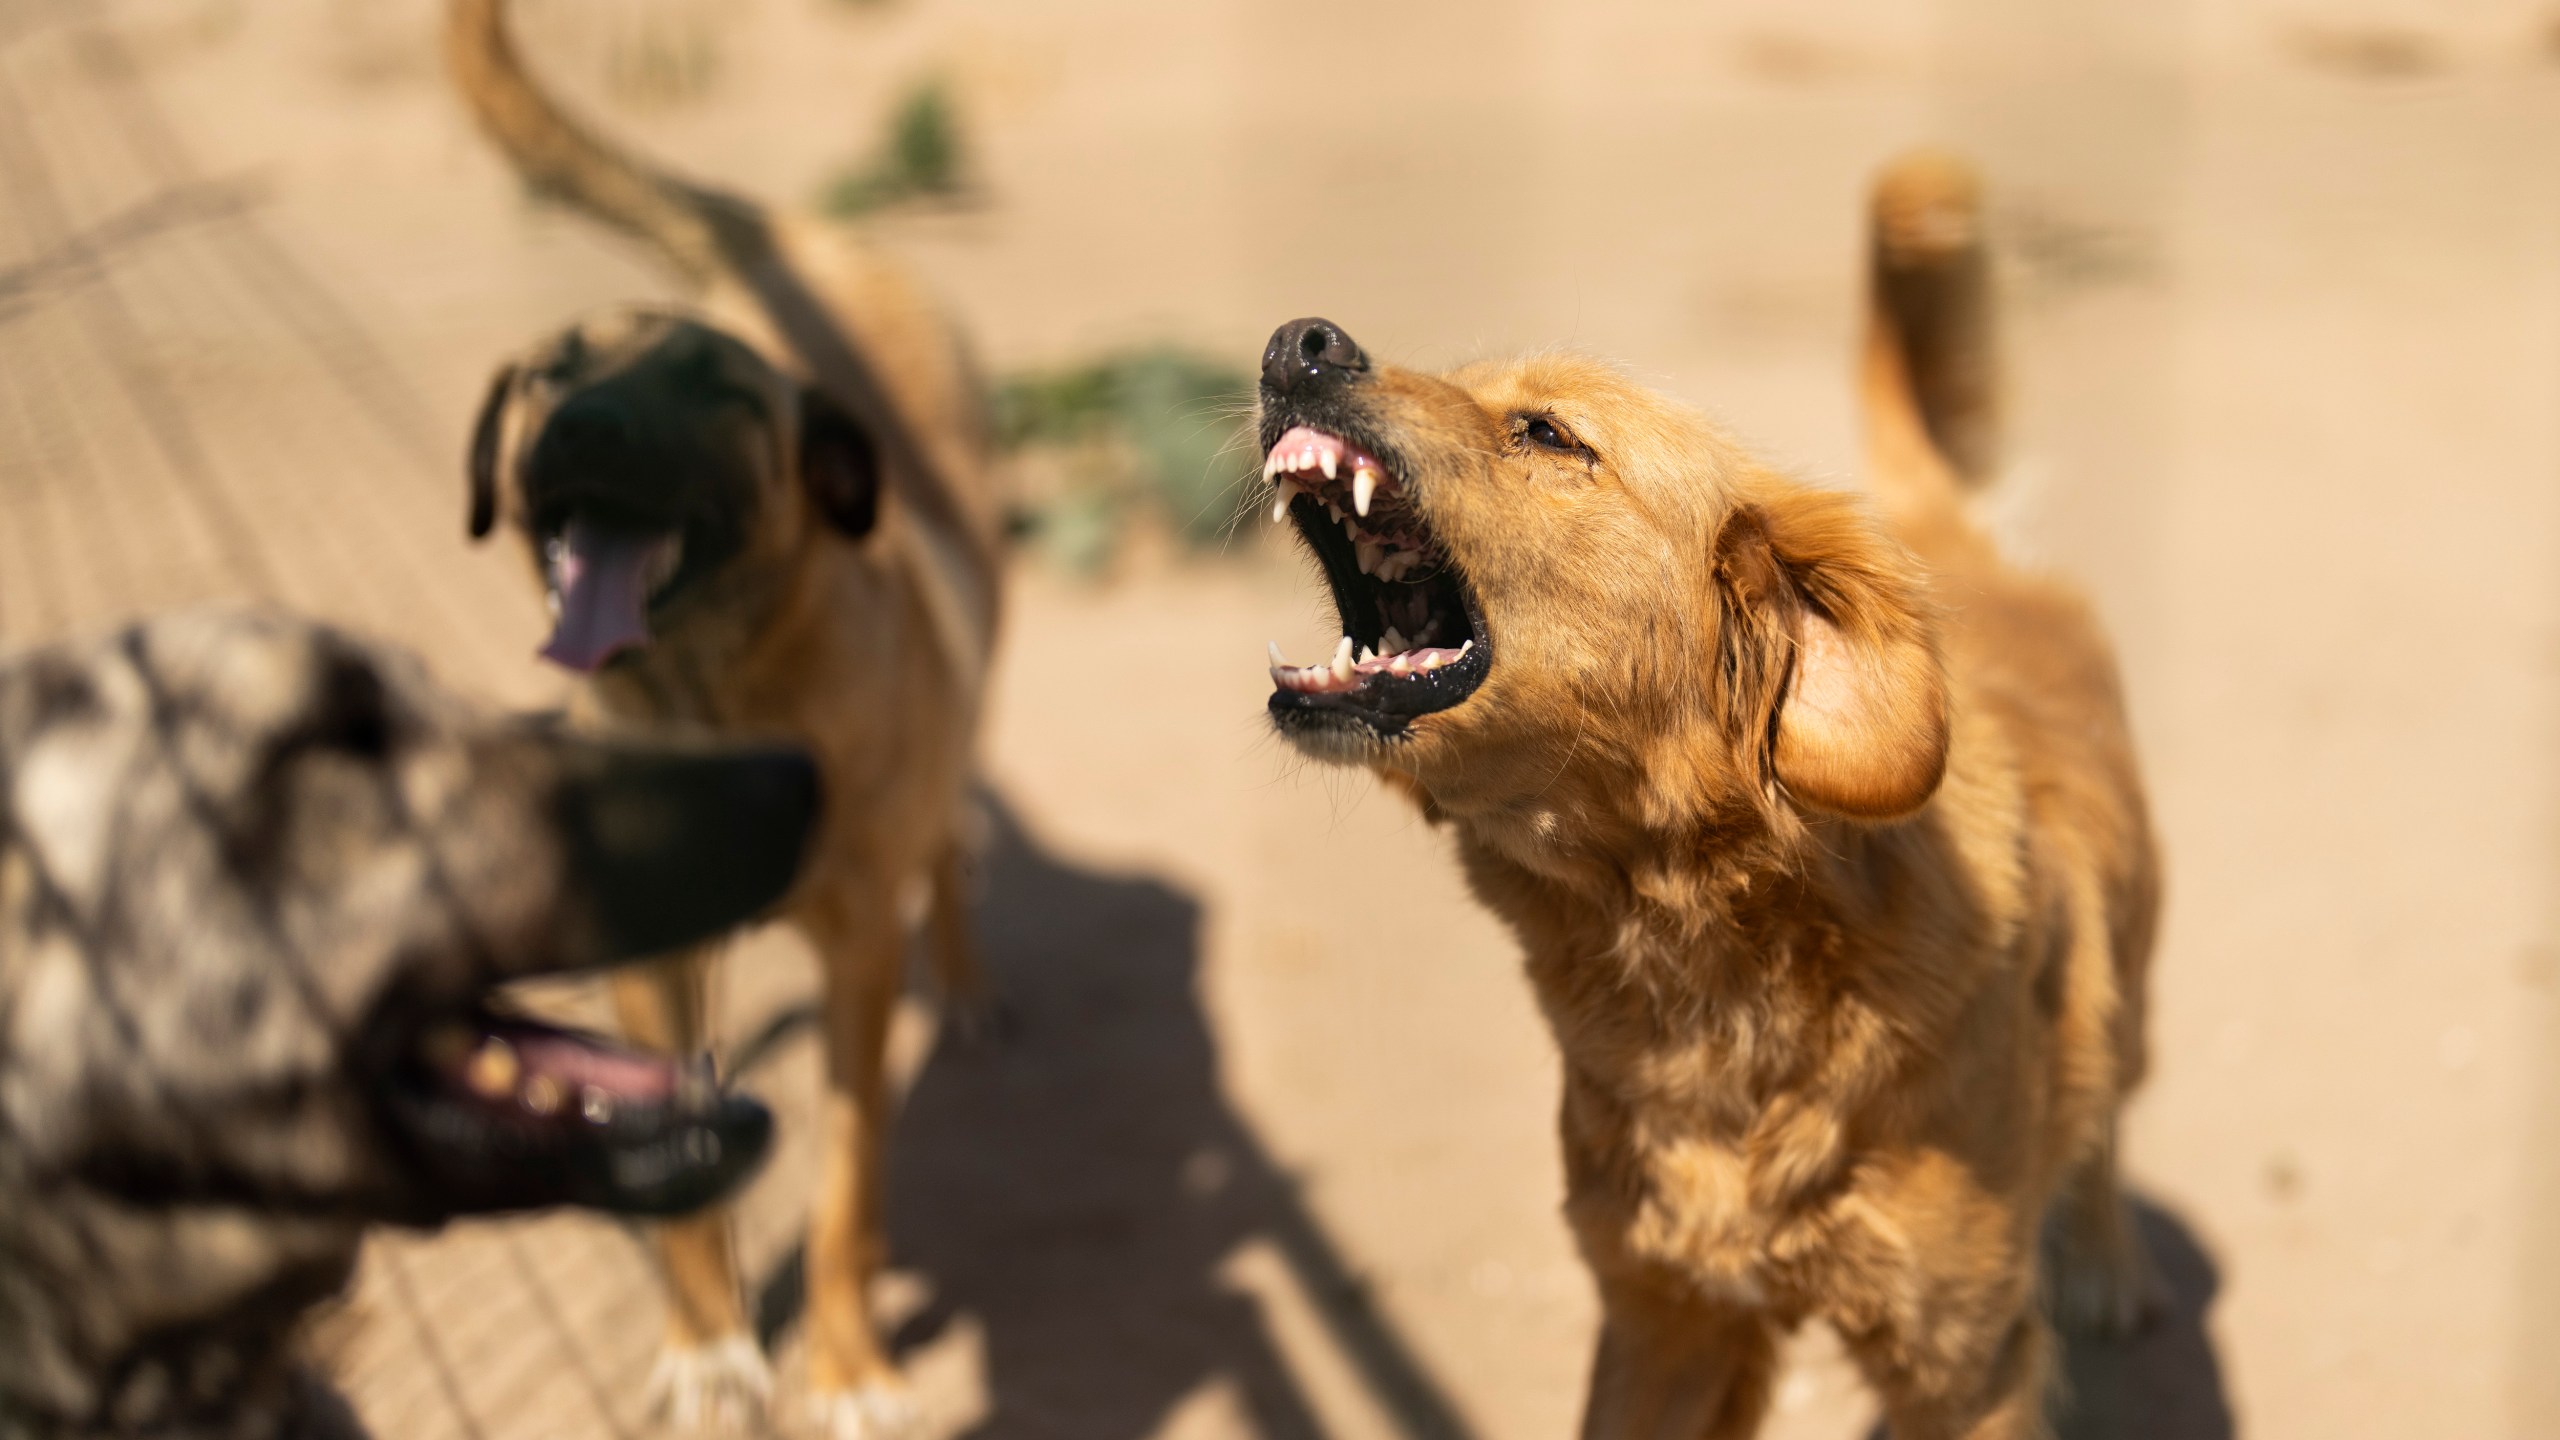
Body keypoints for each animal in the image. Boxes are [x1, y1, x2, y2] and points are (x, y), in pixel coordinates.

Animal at [440, 5, 998, 1424]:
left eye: (719, 391)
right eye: (549, 375)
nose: (585, 425)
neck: (709, 697)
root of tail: (804, 240)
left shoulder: (858, 964)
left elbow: (849, 1193)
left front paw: (848, 1370)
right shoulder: (649, 961)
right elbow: (681, 1171)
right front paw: (707, 1352)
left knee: (950, 835)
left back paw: (967, 983)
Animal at [1259, 151, 2160, 1424]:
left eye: (1546, 432)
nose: (1296, 344)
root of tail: (1948, 550)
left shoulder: (1959, 1362)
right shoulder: (1660, 1320)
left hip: (2128, 988)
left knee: (2107, 1111)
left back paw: (2104, 1261)